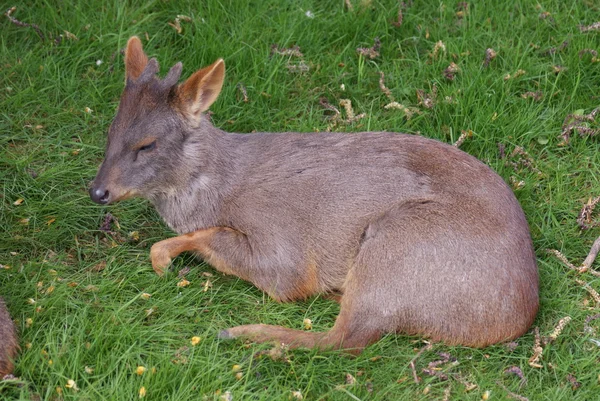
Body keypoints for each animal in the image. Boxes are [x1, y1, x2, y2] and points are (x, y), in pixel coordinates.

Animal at [89, 36, 540, 350]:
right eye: (110, 131)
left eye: (147, 144)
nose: (97, 191)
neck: (220, 185)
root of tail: (517, 314)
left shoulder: (282, 245)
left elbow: (261, 266)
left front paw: (163, 258)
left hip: (399, 238)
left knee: (346, 339)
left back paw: (242, 334)